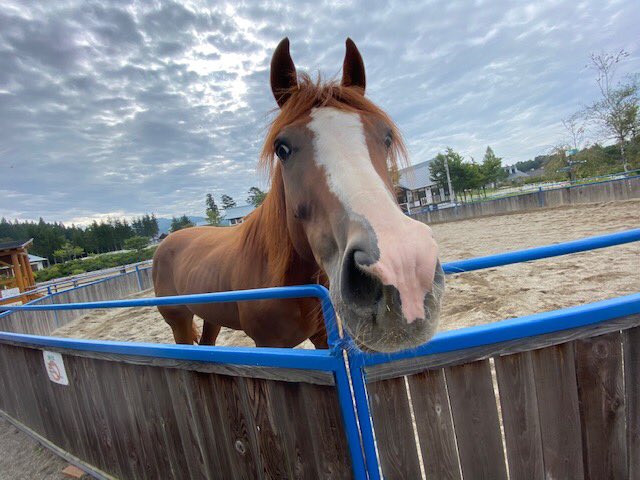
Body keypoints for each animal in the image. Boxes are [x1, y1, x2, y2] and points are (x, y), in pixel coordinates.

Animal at [154, 38, 444, 352]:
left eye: (387, 137)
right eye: (282, 148)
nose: (402, 270)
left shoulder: (323, 338)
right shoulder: (269, 347)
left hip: (211, 317)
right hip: (179, 322)